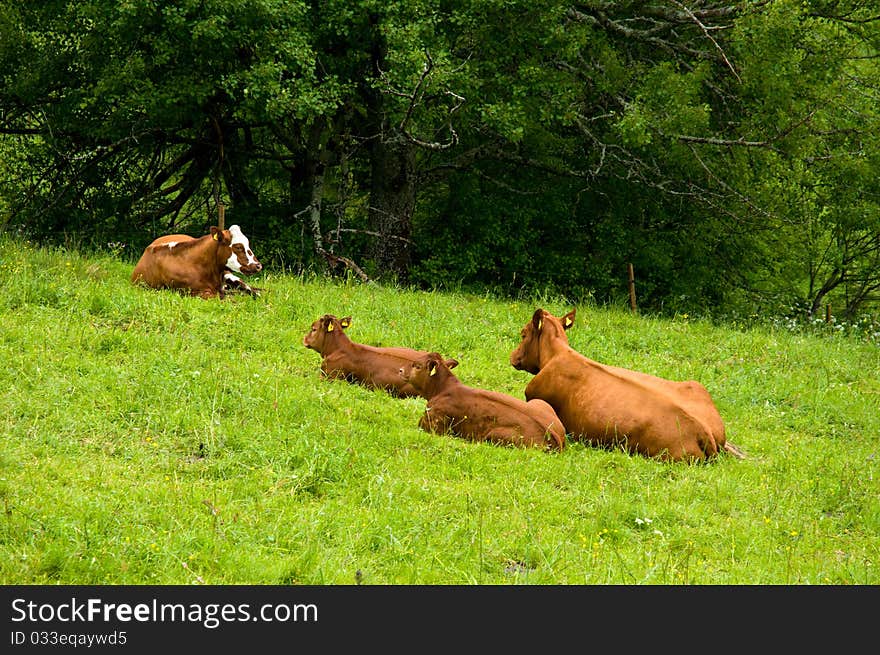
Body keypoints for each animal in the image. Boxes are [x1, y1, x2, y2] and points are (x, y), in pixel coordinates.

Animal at [402, 352, 568, 454]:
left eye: (417, 365)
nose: (401, 370)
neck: (442, 389)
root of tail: (554, 435)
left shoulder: (433, 424)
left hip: (494, 435)